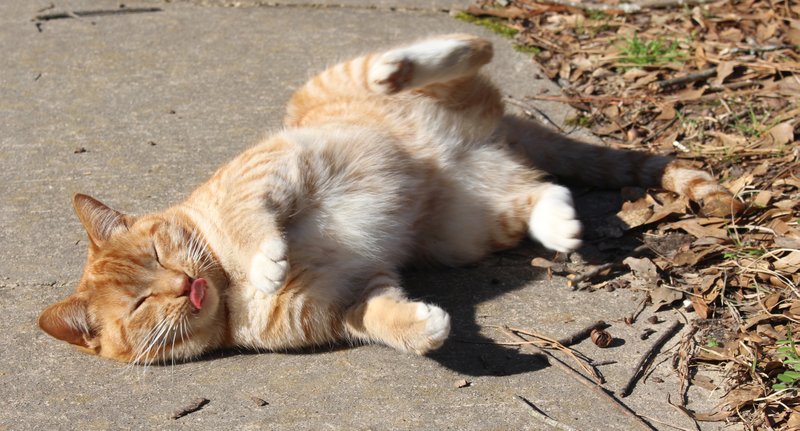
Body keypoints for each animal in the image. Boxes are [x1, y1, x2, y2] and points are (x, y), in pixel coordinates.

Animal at [39, 34, 744, 364]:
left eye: (160, 253)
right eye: (140, 303)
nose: (183, 283)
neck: (230, 290)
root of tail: (493, 133)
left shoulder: (261, 173)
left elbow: (252, 222)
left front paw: (267, 258)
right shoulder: (348, 297)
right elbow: (384, 319)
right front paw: (425, 329)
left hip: (337, 86)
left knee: (471, 49)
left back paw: (403, 67)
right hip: (467, 222)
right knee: (542, 190)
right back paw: (561, 227)